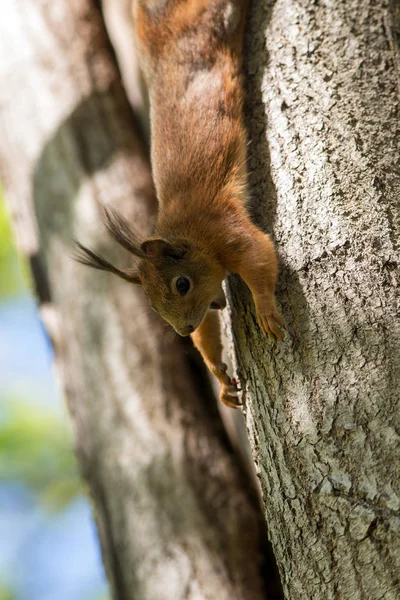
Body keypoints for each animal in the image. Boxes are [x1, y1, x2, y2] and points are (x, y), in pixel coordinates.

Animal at [76, 0, 282, 408]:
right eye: (152, 305)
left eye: (182, 284)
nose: (183, 329)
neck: (187, 233)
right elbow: (209, 331)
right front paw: (219, 377)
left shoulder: (222, 228)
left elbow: (259, 254)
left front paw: (265, 309)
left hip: (208, 20)